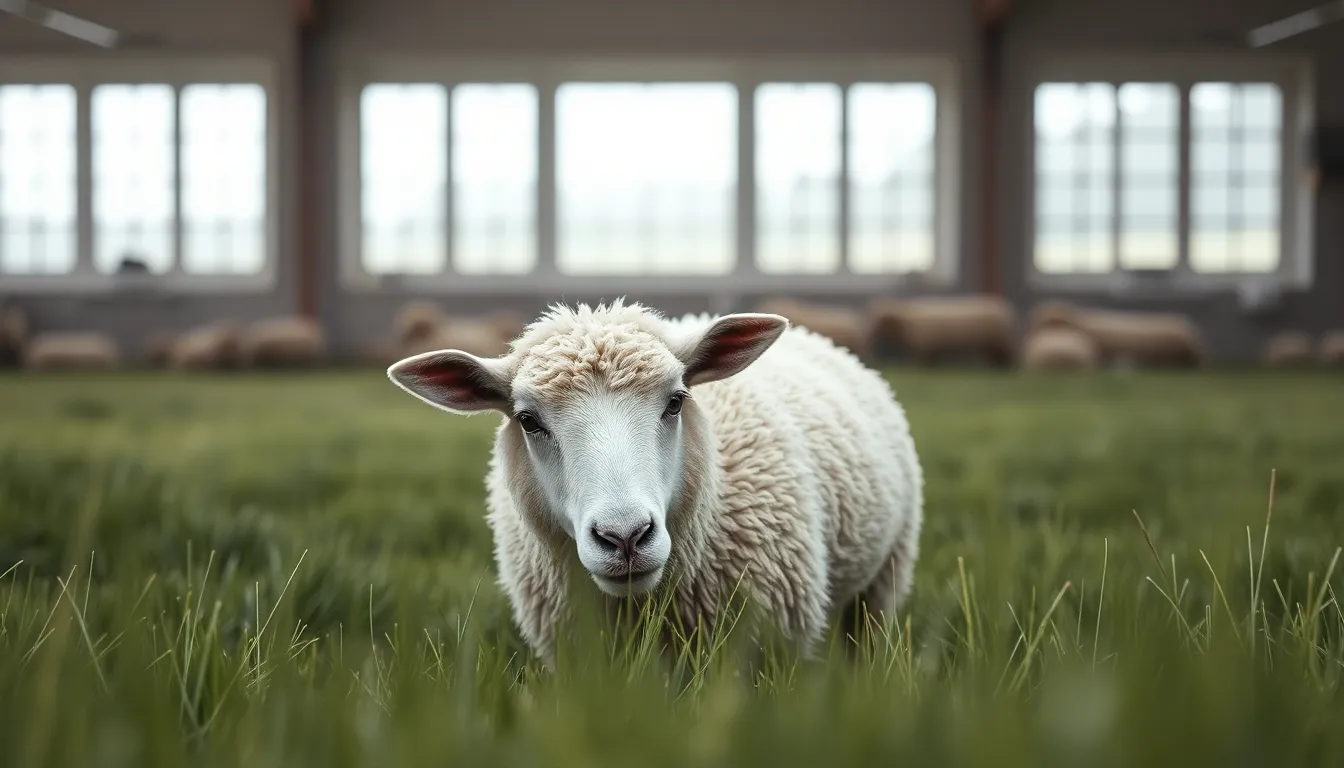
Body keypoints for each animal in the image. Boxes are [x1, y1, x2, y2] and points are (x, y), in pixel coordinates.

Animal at [868, 295, 1016, 367]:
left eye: (882, 321)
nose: (873, 334)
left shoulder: (923, 348)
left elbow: (922, 363)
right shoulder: (924, 349)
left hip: (1000, 342)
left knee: (1007, 357)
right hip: (993, 345)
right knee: (997, 358)